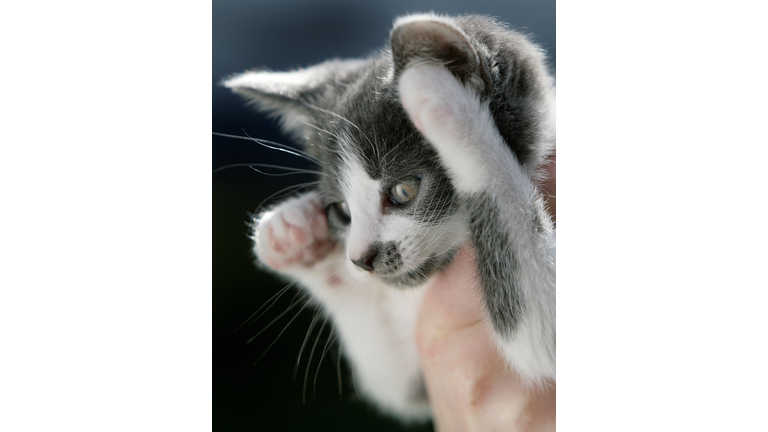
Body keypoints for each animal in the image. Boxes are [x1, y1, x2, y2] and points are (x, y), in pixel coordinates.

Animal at [225, 14, 556, 422]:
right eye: (342, 210)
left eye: (403, 191)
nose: (360, 259)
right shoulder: (412, 381)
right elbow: (393, 381)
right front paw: (291, 233)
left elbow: (540, 337)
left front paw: (445, 101)